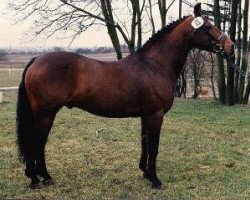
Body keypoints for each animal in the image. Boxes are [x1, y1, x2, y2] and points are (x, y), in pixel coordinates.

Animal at [15, 3, 234, 190]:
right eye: (208, 26)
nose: (231, 47)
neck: (155, 65)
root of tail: (37, 59)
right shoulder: (156, 114)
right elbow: (154, 146)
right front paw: (155, 180)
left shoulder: (146, 115)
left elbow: (145, 142)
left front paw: (145, 173)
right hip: (45, 114)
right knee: (36, 142)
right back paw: (36, 179)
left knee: (39, 143)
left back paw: (44, 177)